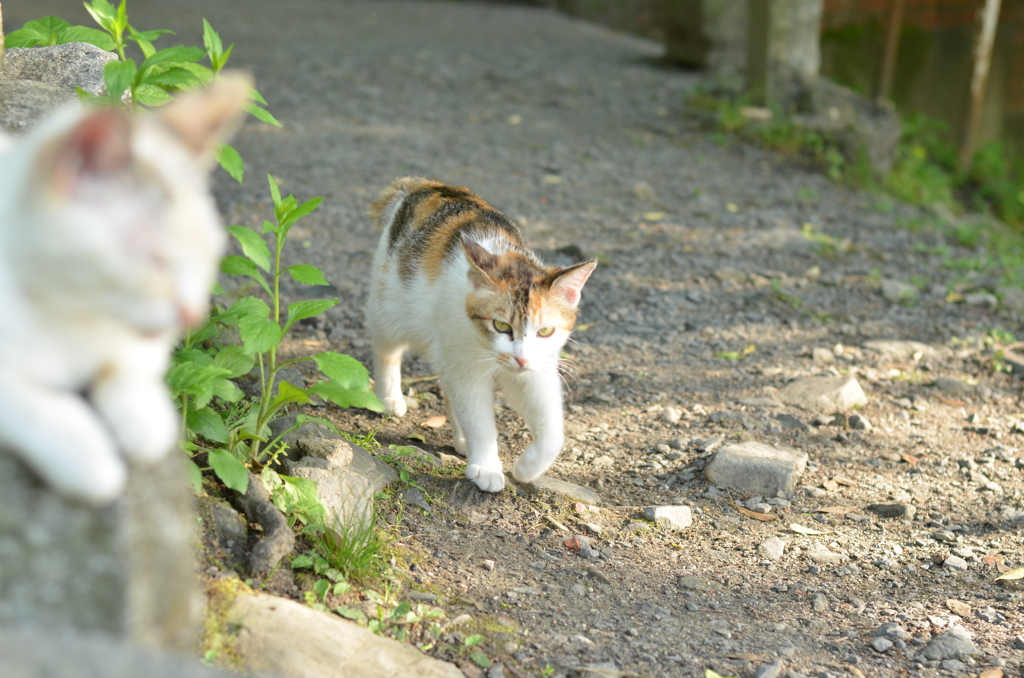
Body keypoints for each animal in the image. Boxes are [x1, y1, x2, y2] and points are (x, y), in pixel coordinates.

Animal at [0, 78, 249, 503]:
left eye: (209, 256)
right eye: (156, 260)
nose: (192, 315)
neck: (69, 310)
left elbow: (129, 366)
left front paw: (145, 419)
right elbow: (30, 402)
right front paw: (84, 455)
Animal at [368, 178, 598, 491]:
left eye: (545, 331)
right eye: (501, 326)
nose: (520, 359)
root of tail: (425, 184)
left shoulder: (539, 367)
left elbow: (552, 429)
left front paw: (527, 468)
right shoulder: (463, 363)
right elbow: (477, 417)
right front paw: (487, 466)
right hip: (390, 303)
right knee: (386, 349)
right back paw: (390, 397)